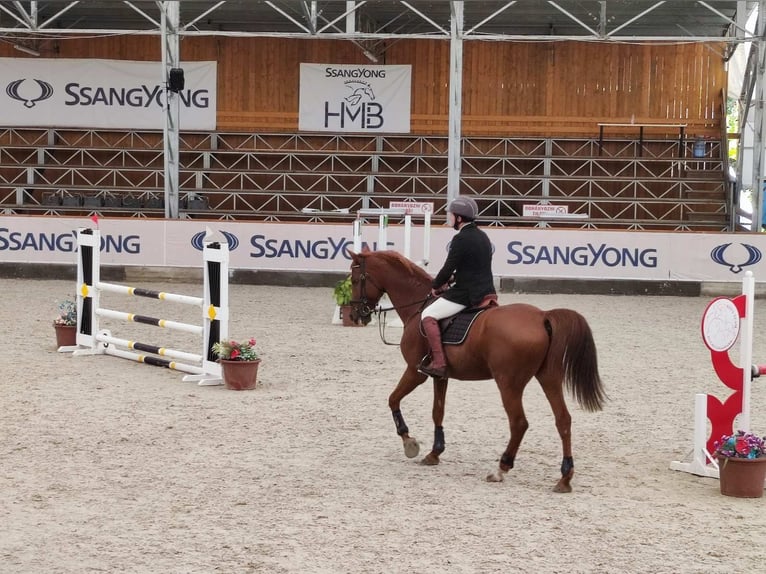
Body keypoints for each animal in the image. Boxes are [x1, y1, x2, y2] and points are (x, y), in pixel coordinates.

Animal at [352, 250, 608, 492]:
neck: (417, 306)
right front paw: (434, 453)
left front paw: (409, 442)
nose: (356, 315)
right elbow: (437, 412)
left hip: (508, 383)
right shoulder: (440, 376)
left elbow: (393, 399)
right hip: (549, 378)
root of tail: (542, 316)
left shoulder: (416, 373)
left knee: (519, 423)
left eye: (355, 279)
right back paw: (564, 478)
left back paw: (501, 469)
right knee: (563, 420)